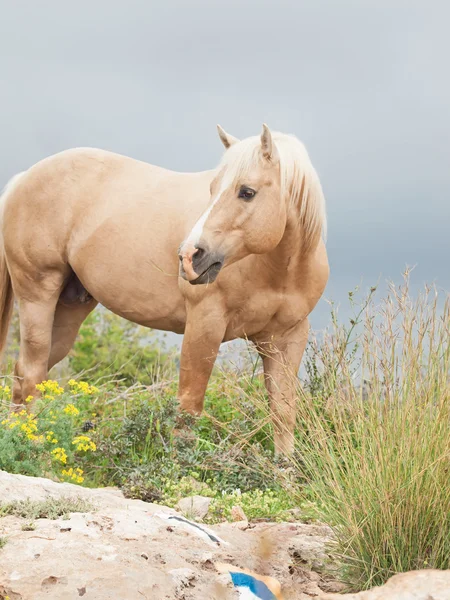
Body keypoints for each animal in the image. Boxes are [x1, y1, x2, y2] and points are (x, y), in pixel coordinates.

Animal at [1, 126, 328, 454]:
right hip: (37, 294)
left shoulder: (286, 338)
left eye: (247, 192)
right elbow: (188, 409)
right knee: (30, 373)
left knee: (27, 375)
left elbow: (283, 413)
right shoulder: (204, 326)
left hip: (69, 309)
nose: (188, 256)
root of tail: (24, 178)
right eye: (212, 189)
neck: (277, 272)